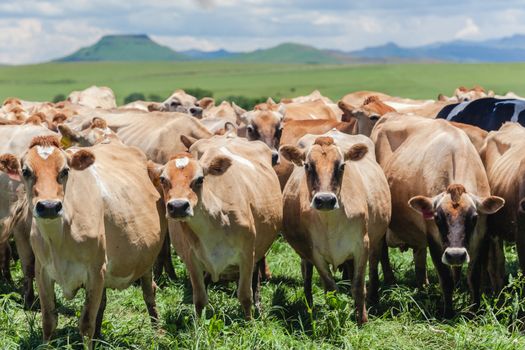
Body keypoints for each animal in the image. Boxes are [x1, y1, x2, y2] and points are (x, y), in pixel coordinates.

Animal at [0, 135, 163, 346]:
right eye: (26, 171)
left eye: (65, 171)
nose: (49, 206)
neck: (58, 239)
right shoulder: (42, 271)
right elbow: (48, 321)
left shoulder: (96, 271)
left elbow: (86, 325)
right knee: (103, 303)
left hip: (147, 260)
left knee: (149, 291)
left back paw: (158, 333)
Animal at [148, 135, 282, 318]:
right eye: (163, 179)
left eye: (200, 179)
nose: (178, 206)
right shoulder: (192, 260)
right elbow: (199, 299)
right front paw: (198, 323)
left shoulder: (247, 255)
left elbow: (245, 295)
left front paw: (250, 321)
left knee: (256, 277)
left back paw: (258, 305)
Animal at [280, 132, 390, 326]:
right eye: (307, 166)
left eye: (342, 166)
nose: (325, 200)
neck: (331, 223)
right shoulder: (314, 252)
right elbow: (331, 288)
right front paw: (335, 318)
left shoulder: (362, 246)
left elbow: (358, 285)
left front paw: (362, 320)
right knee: (307, 275)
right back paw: (309, 306)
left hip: (377, 240)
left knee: (373, 265)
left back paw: (373, 298)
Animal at [368, 115, 504, 318]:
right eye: (438, 218)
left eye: (474, 217)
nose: (455, 255)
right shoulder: (434, 239)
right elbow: (446, 279)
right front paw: (448, 312)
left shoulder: (481, 237)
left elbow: (474, 278)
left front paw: (474, 311)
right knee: (379, 254)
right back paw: (382, 289)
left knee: (418, 259)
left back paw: (422, 288)